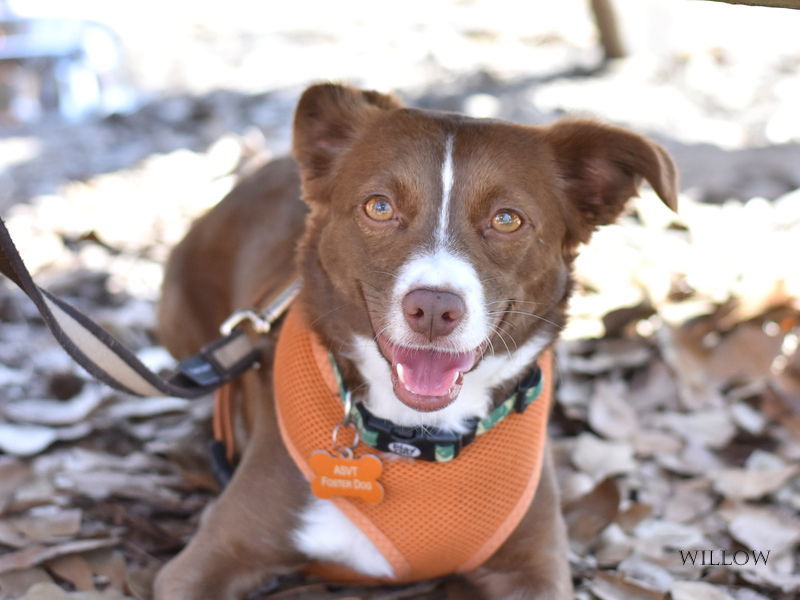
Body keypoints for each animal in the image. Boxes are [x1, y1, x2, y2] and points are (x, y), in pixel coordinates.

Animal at [155, 84, 676, 600]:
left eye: (507, 219)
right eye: (379, 207)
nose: (433, 308)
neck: (418, 436)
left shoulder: (533, 569)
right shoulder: (209, 560)